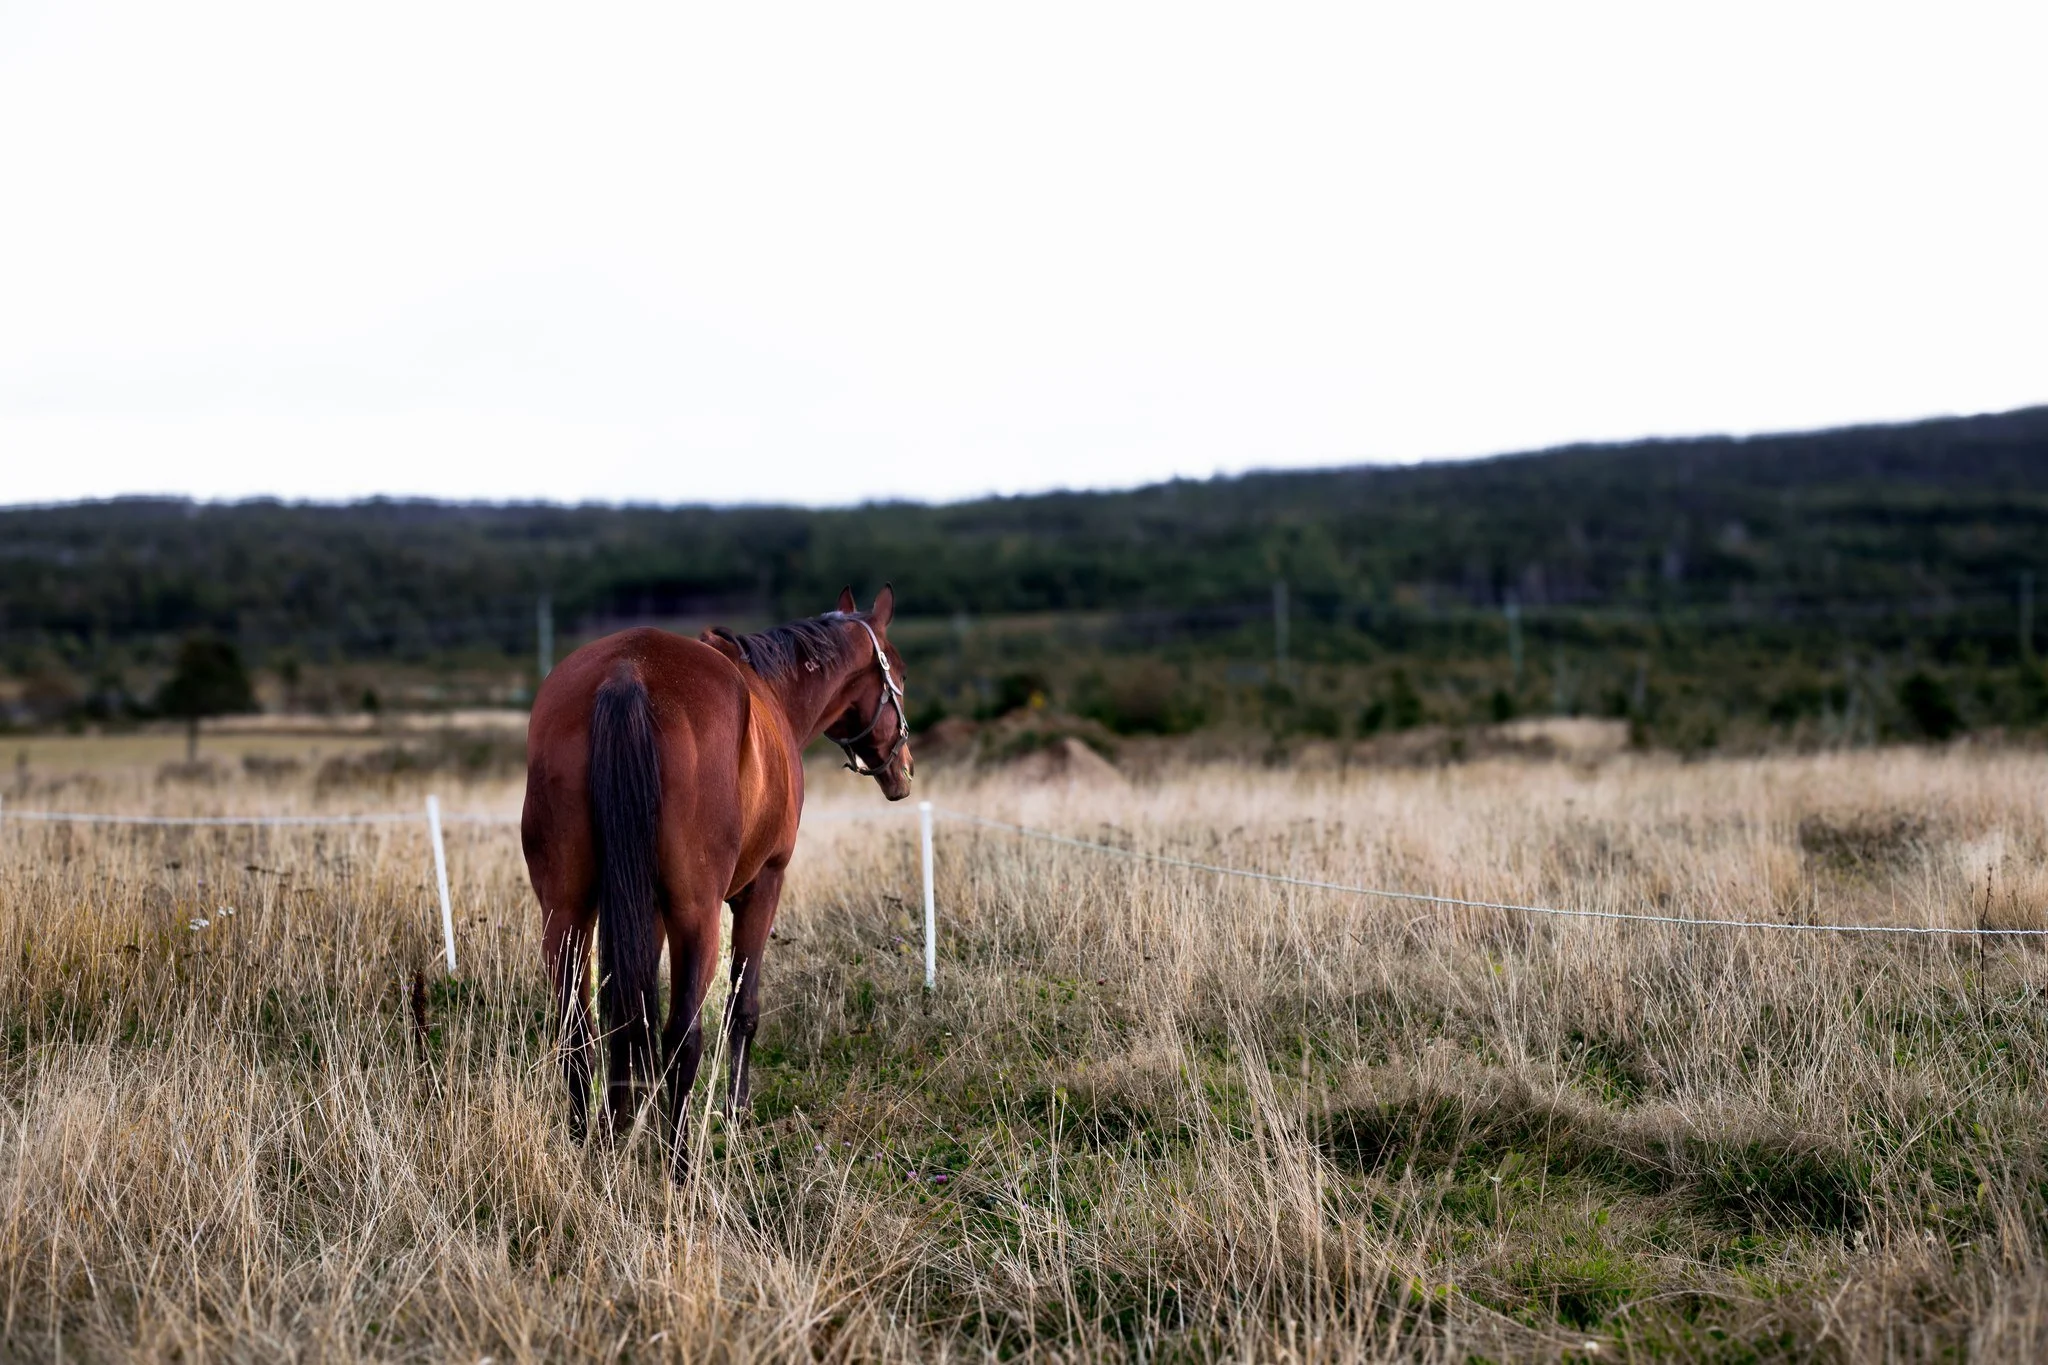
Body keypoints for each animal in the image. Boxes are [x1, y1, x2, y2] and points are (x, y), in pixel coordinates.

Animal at [519, 586, 913, 1174]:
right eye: (899, 674)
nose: (903, 770)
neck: (771, 693)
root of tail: (626, 674)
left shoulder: (646, 912)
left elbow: (632, 1011)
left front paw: (628, 1114)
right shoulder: (764, 885)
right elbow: (741, 1010)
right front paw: (736, 1112)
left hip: (565, 911)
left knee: (580, 1031)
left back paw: (586, 1139)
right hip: (695, 915)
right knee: (684, 1033)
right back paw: (680, 1165)